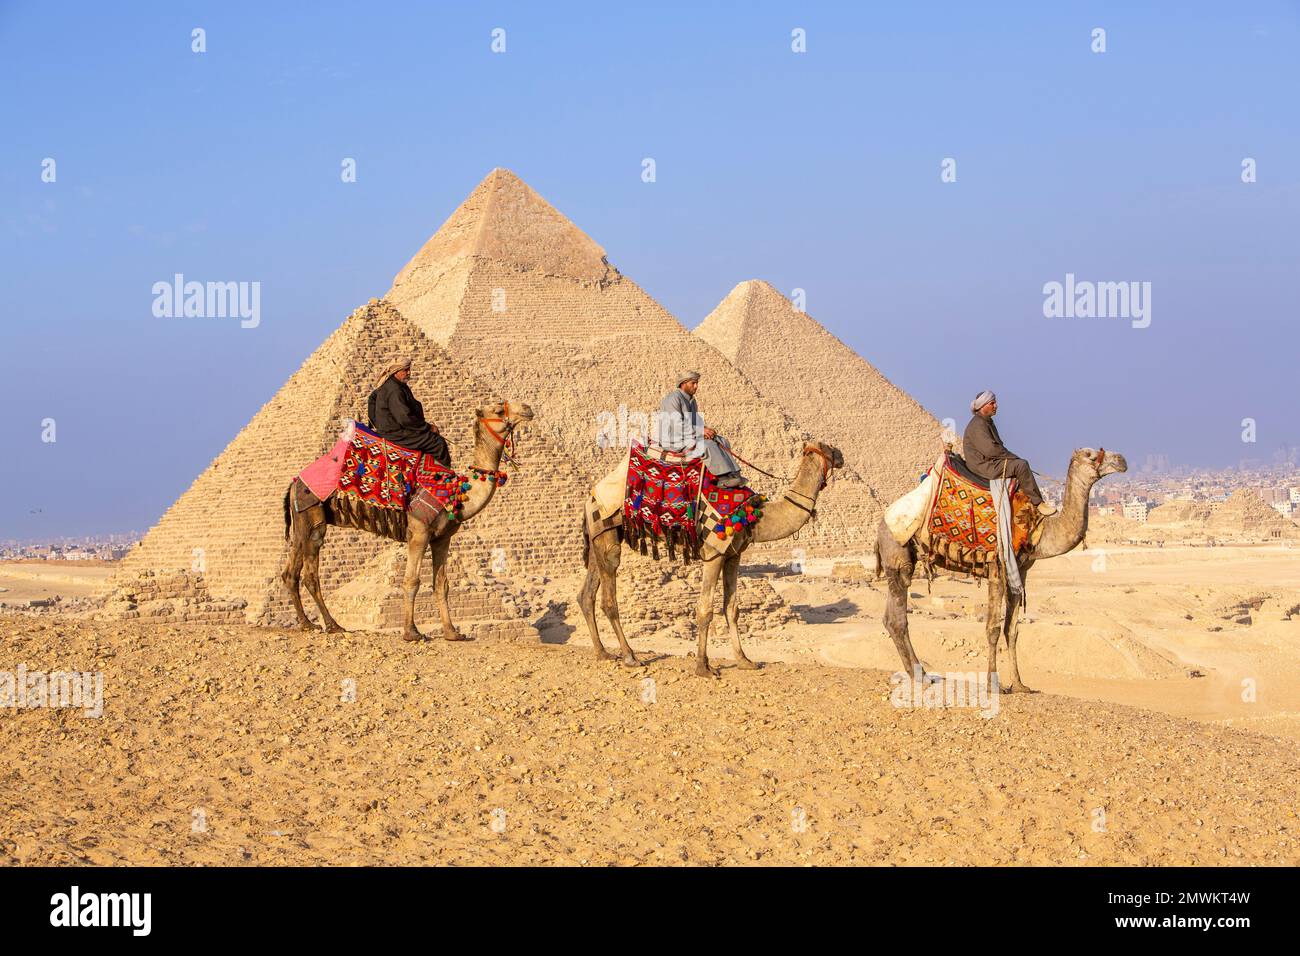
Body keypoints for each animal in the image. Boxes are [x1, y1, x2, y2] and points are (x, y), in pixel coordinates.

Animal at [280, 400, 533, 639]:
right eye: (498, 410)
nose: (528, 409)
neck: (458, 491)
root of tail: (294, 483)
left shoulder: (442, 538)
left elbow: (442, 584)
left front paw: (452, 632)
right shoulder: (419, 533)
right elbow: (411, 581)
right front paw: (411, 632)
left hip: (300, 525)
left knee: (290, 573)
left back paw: (307, 623)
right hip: (313, 518)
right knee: (310, 575)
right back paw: (332, 625)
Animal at [579, 444, 842, 676]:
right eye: (828, 448)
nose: (841, 456)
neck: (755, 517)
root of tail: (590, 498)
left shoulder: (734, 555)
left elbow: (732, 608)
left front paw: (744, 660)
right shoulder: (714, 553)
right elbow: (705, 609)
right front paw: (703, 667)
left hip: (598, 536)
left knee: (586, 595)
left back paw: (602, 652)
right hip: (608, 530)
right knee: (609, 597)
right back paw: (630, 656)